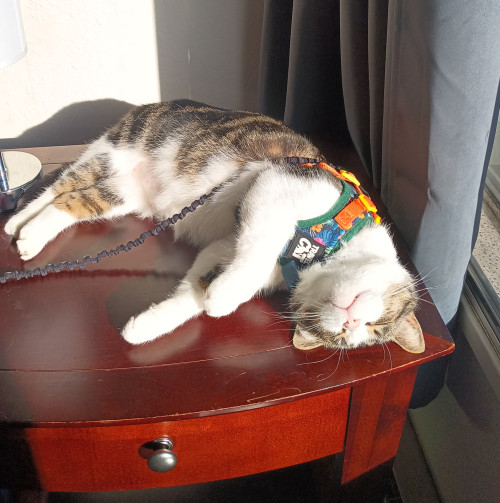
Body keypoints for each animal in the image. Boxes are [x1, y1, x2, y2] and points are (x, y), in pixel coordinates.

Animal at [4, 99, 425, 353]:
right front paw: (223, 298)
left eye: (355, 335)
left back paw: (26, 232)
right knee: (60, 186)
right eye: (377, 324)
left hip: (122, 194)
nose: (352, 322)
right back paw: (19, 226)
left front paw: (148, 326)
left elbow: (193, 291)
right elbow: (256, 252)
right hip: (112, 152)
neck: (320, 250)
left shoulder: (222, 249)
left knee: (73, 201)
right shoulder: (276, 188)